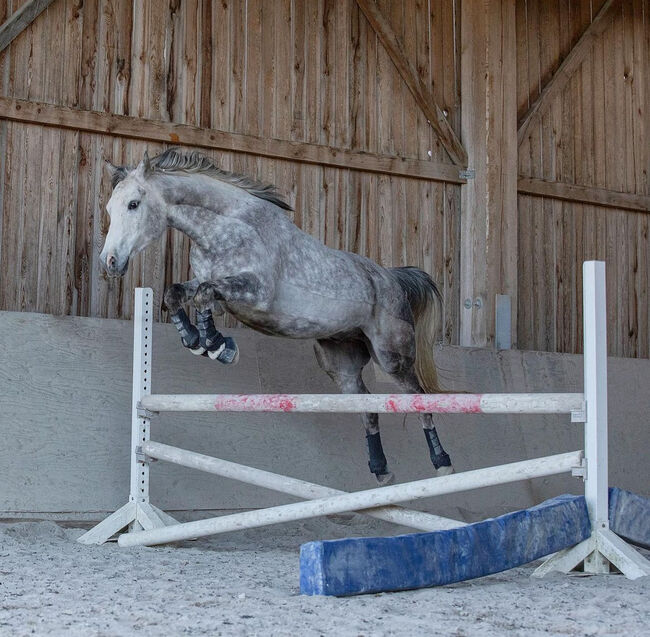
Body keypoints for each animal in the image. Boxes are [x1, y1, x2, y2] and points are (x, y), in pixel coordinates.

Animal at [100, 149, 450, 484]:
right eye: (109, 208)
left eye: (133, 204)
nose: (110, 262)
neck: (224, 228)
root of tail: (392, 278)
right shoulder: (211, 285)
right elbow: (178, 294)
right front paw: (198, 341)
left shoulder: (256, 293)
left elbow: (204, 296)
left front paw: (218, 346)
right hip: (341, 363)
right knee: (367, 408)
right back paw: (380, 469)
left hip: (392, 356)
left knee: (419, 399)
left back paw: (442, 462)